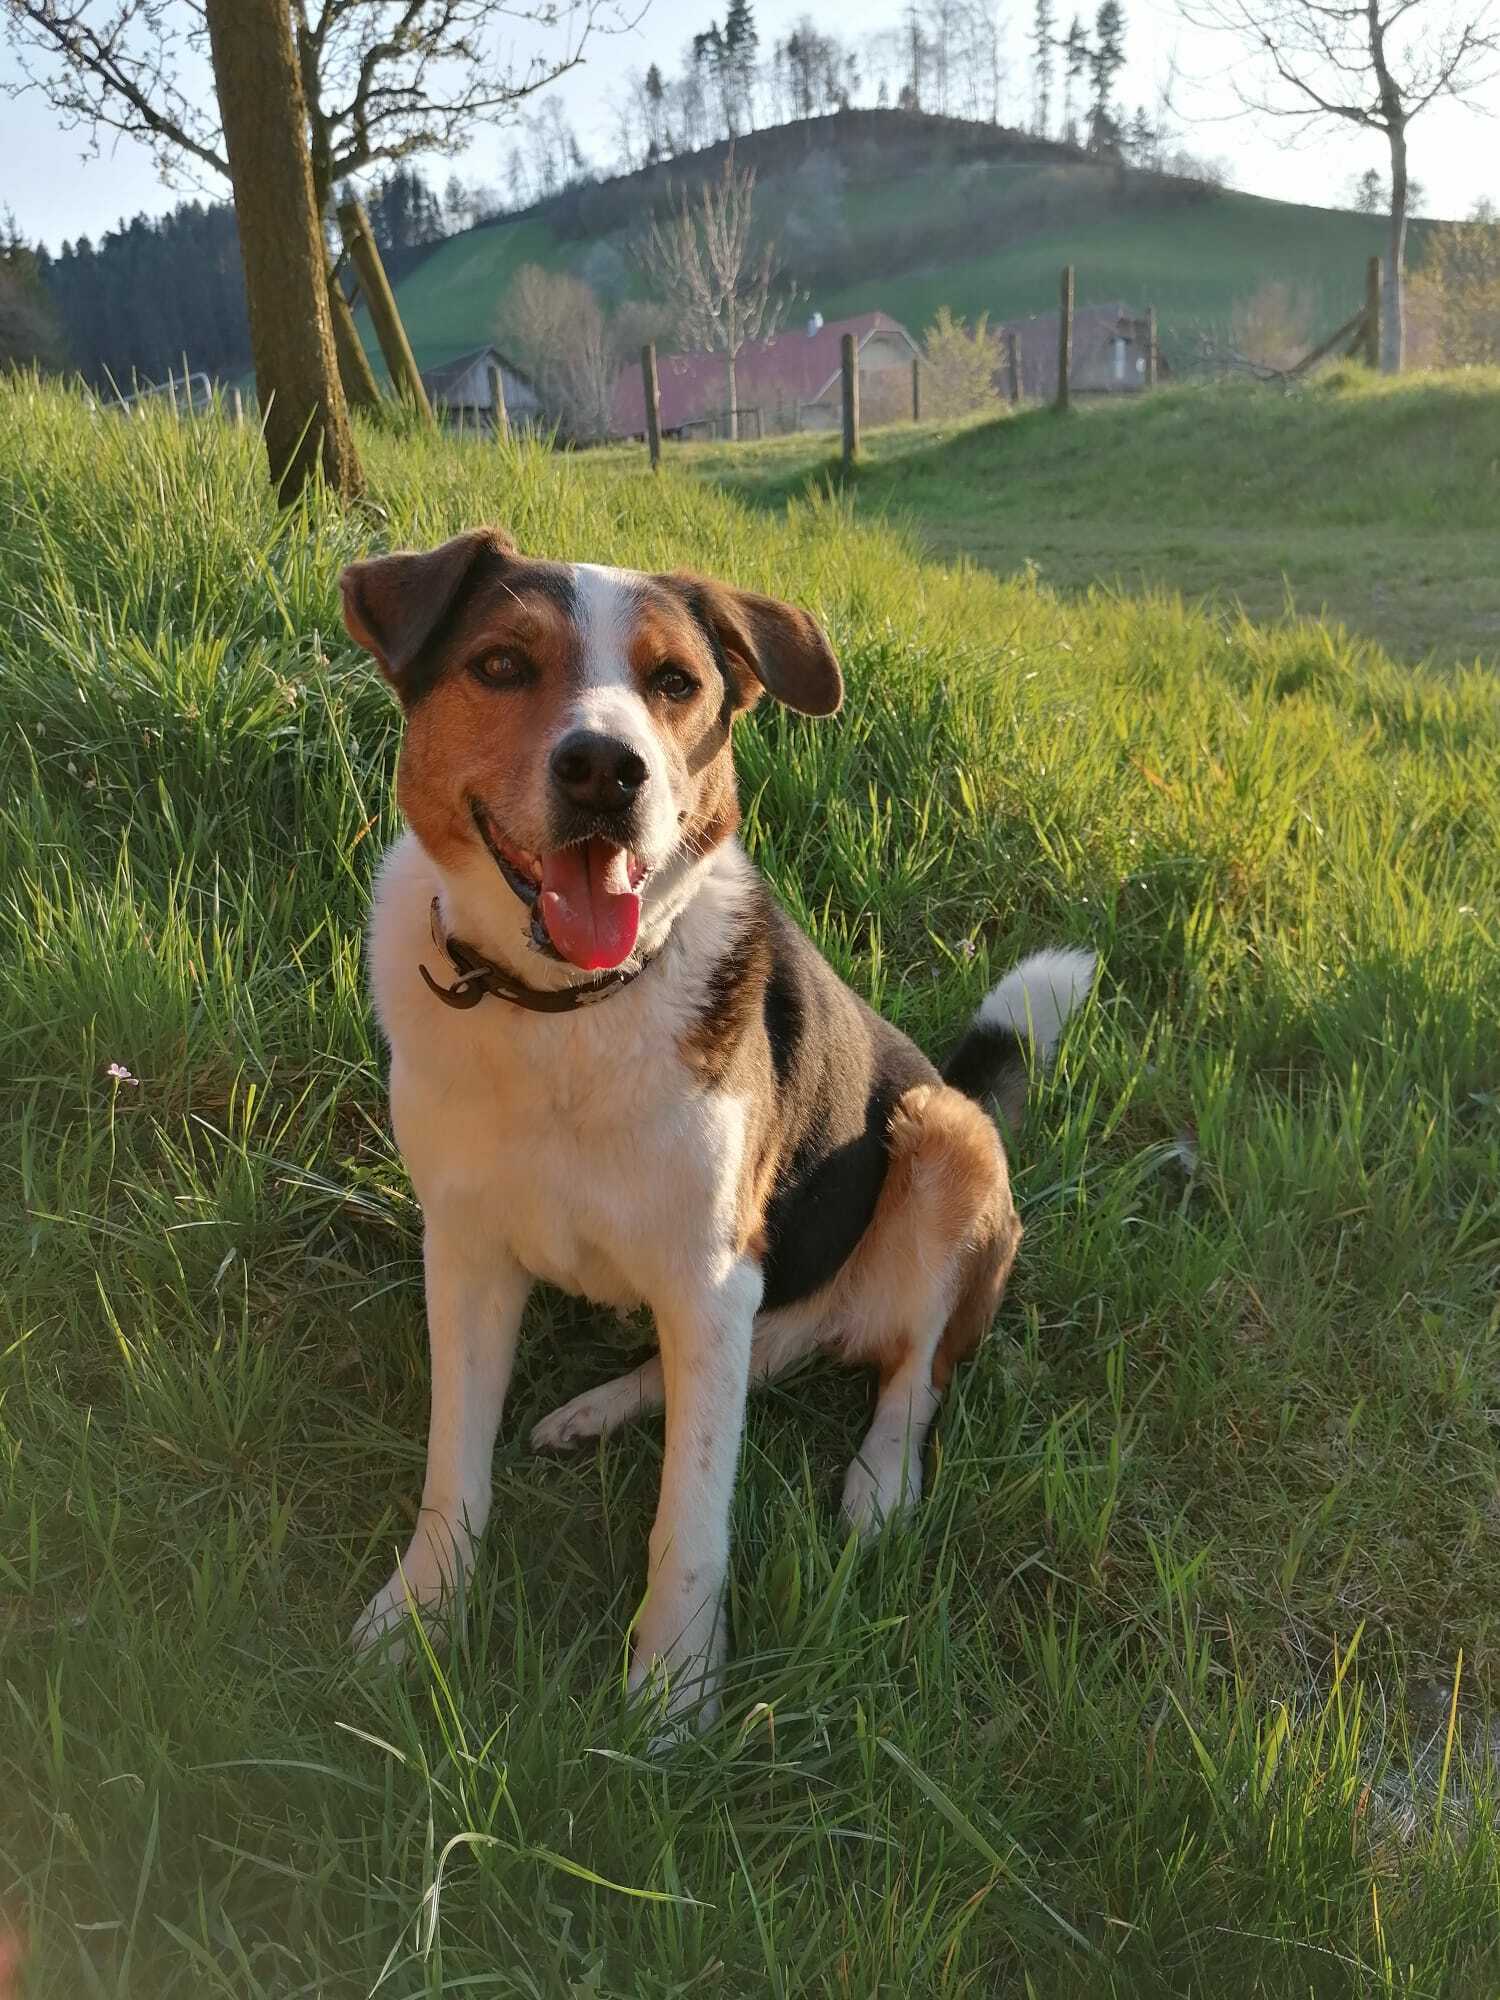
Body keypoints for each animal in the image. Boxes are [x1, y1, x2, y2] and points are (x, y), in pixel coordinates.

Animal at [340, 527, 1095, 1727]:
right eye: (501, 664)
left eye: (675, 683)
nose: (607, 770)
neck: (566, 1010)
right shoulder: (464, 1255)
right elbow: (452, 1469)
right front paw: (417, 1617)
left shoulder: (710, 1271)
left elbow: (690, 1514)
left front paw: (674, 1688)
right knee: (759, 1355)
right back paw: (600, 1406)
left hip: (943, 1135)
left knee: (912, 1373)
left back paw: (880, 1487)